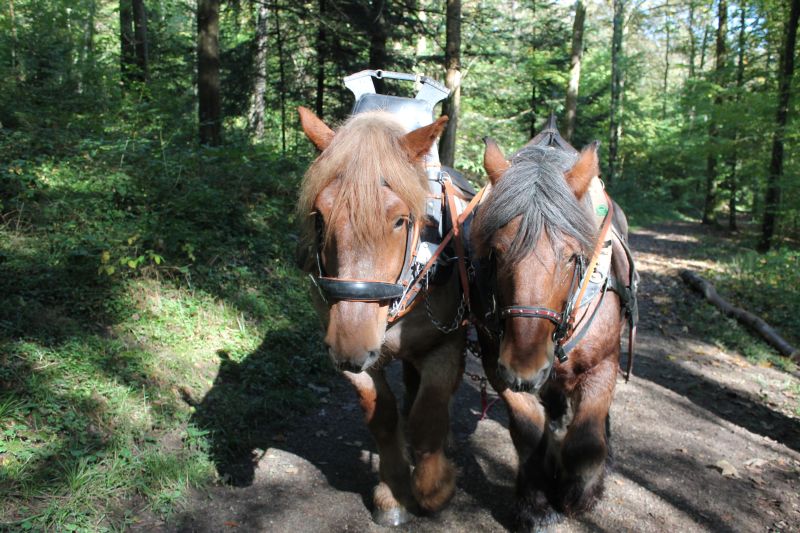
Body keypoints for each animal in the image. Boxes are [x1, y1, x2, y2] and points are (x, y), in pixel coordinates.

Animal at [296, 107, 468, 526]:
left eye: (400, 220)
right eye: (320, 217)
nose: (351, 343)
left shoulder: (445, 344)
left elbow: (428, 415)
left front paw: (434, 488)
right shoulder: (353, 360)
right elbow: (383, 416)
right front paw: (393, 495)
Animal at [469, 124, 637, 530]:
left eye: (573, 256)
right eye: (494, 253)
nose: (525, 368)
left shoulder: (602, 365)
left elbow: (586, 441)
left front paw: (580, 492)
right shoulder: (497, 367)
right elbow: (529, 432)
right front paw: (535, 502)